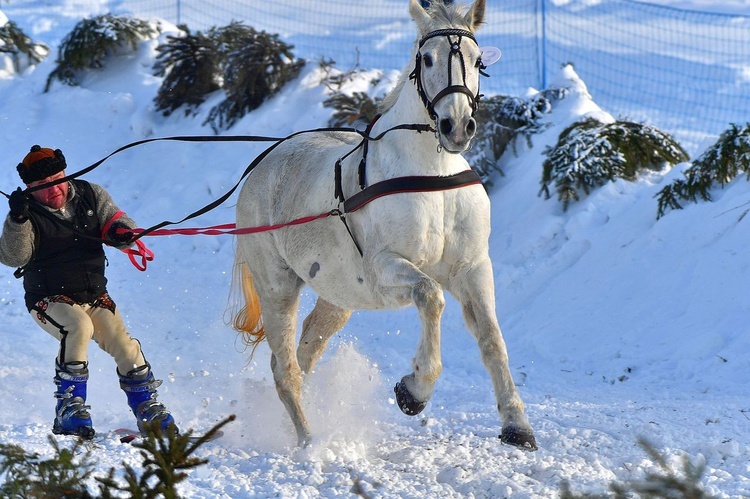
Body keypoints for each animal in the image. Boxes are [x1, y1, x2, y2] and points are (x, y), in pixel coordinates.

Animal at [232, 0, 536, 454]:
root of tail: (260, 166)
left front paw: (517, 425)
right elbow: (431, 297)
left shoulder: (472, 268)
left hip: (338, 297)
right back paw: (309, 441)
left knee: (306, 353)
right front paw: (414, 390)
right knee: (284, 368)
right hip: (277, 287)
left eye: (479, 61)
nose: (457, 126)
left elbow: (491, 338)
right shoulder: (385, 267)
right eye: (426, 59)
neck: (432, 174)